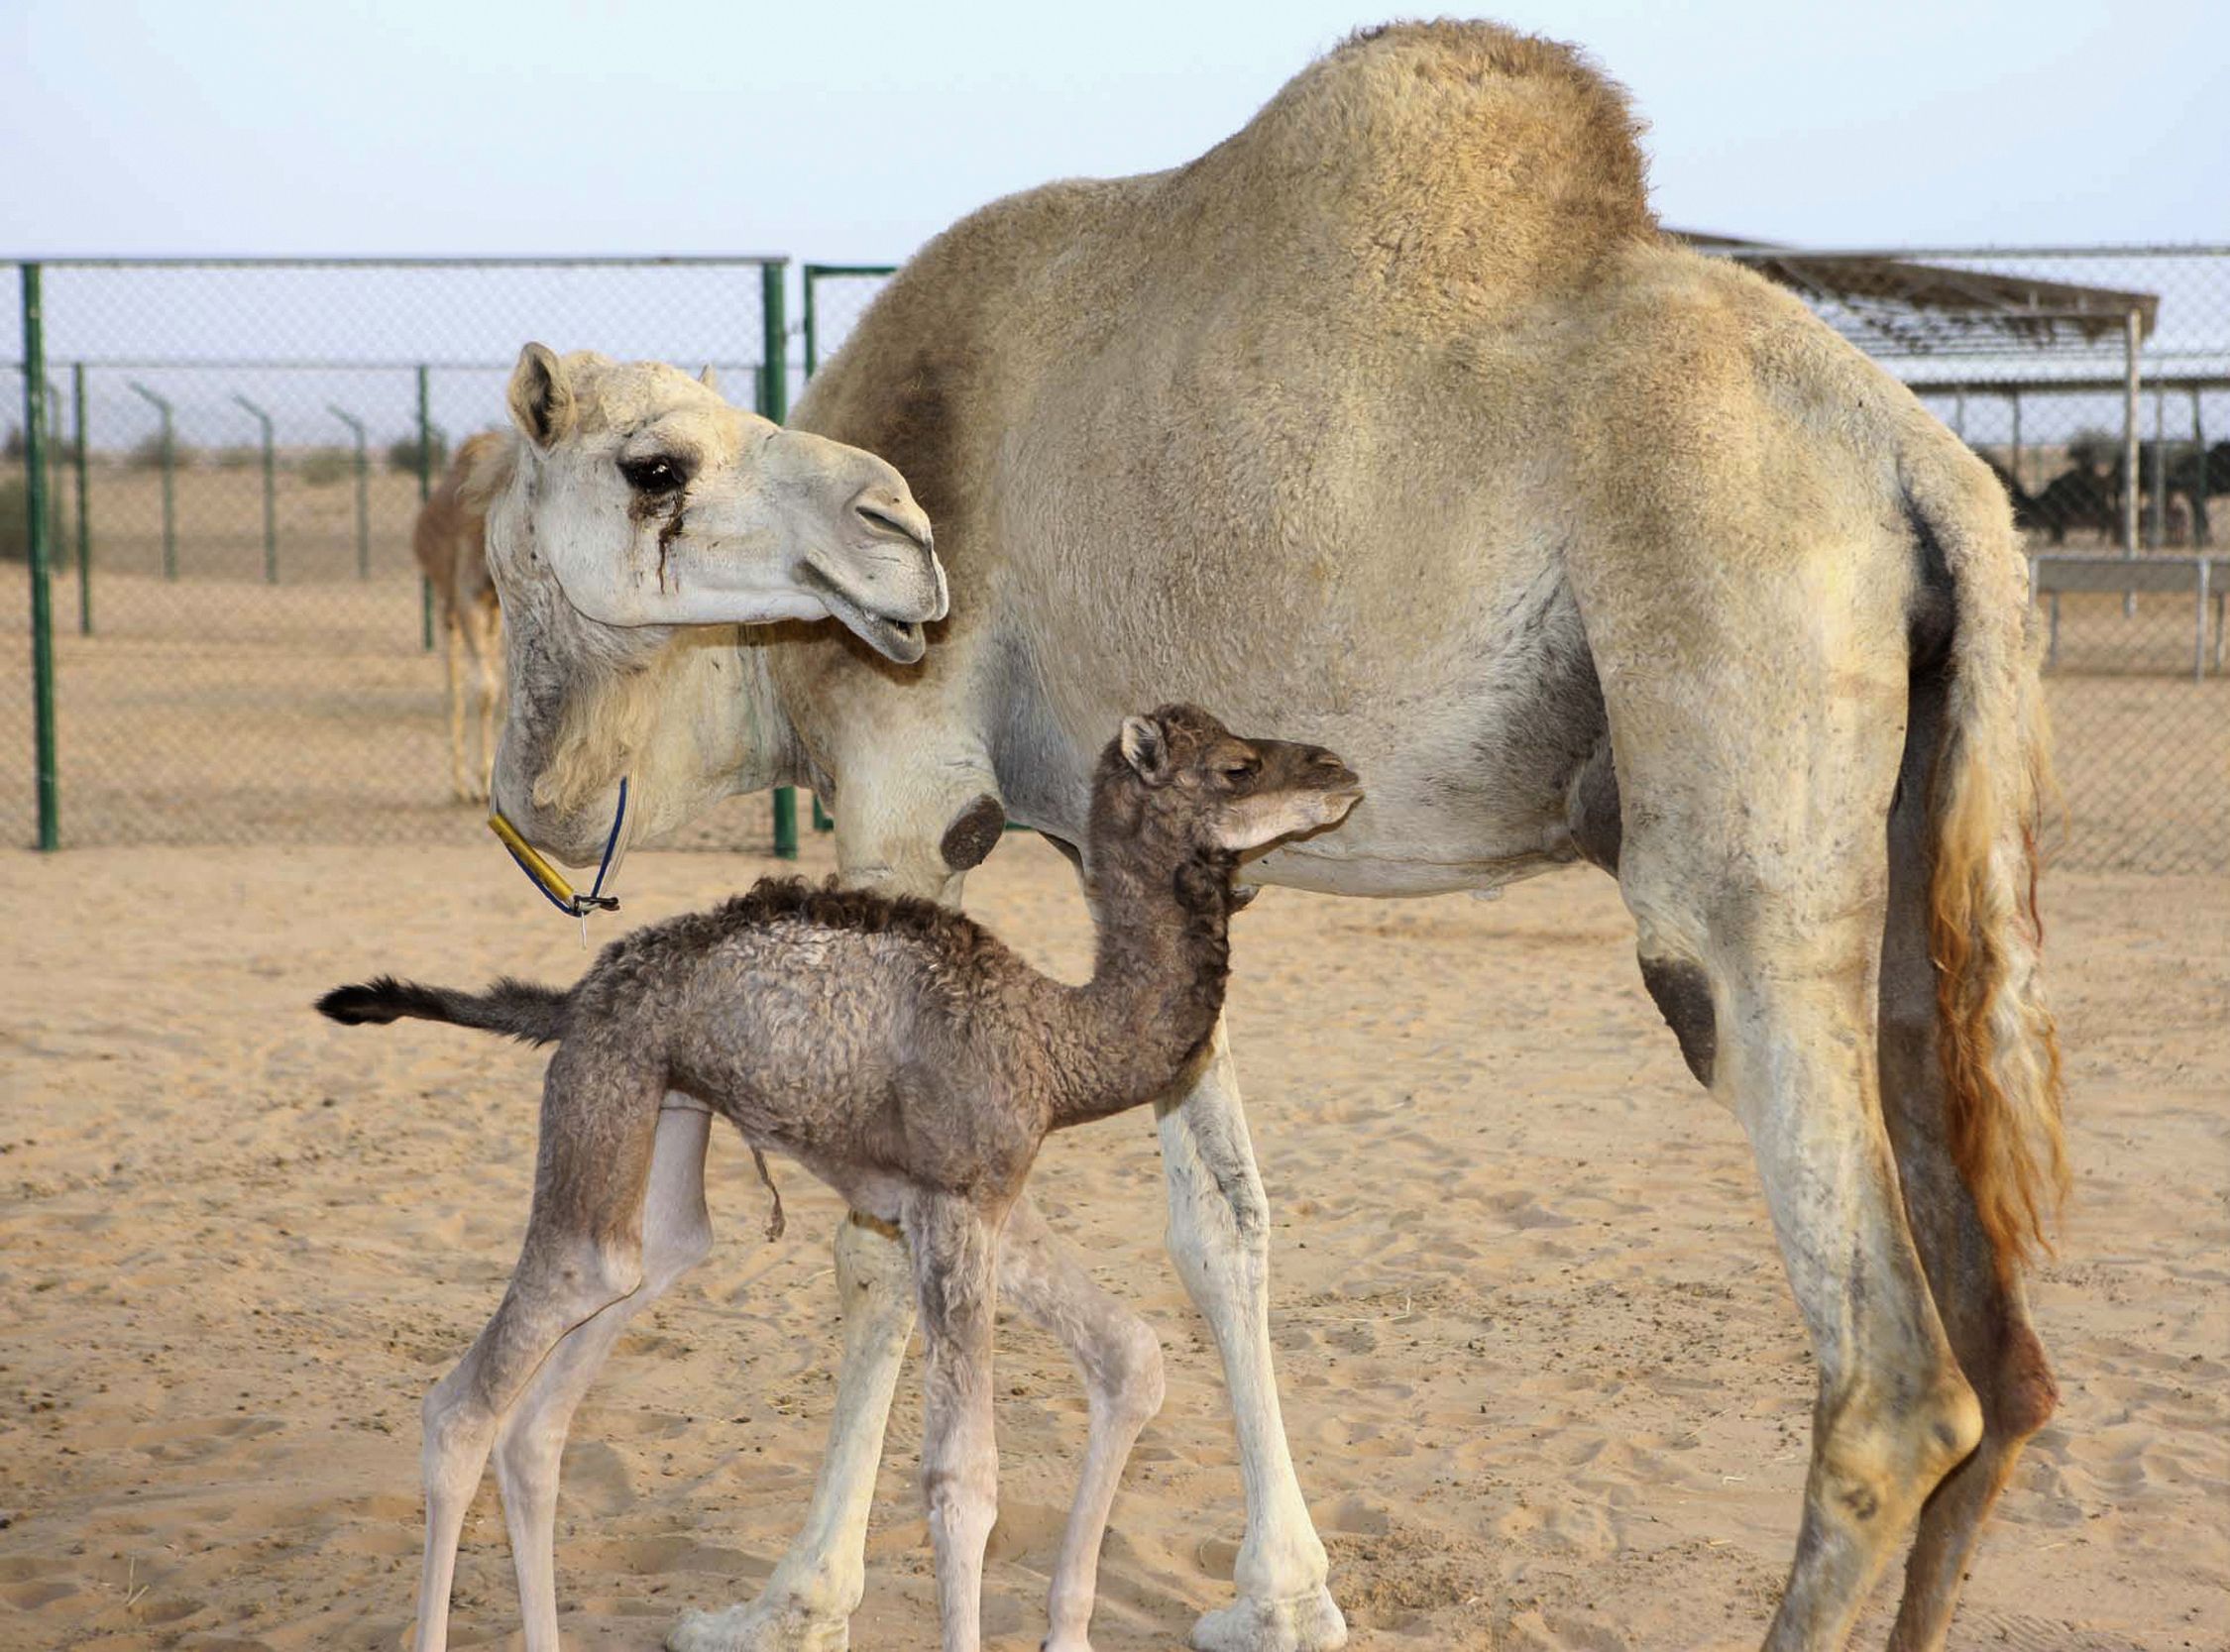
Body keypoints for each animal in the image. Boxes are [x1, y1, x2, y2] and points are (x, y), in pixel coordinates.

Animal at [314, 704, 1356, 1649]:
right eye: (1236, 766)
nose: (1340, 769)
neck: (1057, 1039)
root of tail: (578, 997)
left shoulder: (980, 1199)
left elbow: (1131, 1355)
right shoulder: (951, 1206)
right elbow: (962, 1483)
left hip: (660, 1121)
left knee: (576, 1363)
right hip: (599, 1099)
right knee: (465, 1406)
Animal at [461, 22, 2061, 1649]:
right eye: (658, 460)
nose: (903, 539)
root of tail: (1929, 470)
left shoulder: (905, 784)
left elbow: (874, 1236)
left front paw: (790, 1597)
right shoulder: (1131, 841)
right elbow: (1221, 1219)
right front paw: (1282, 1591)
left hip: (1733, 812)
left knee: (1893, 1382)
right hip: (1919, 844)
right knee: (2005, 1363)